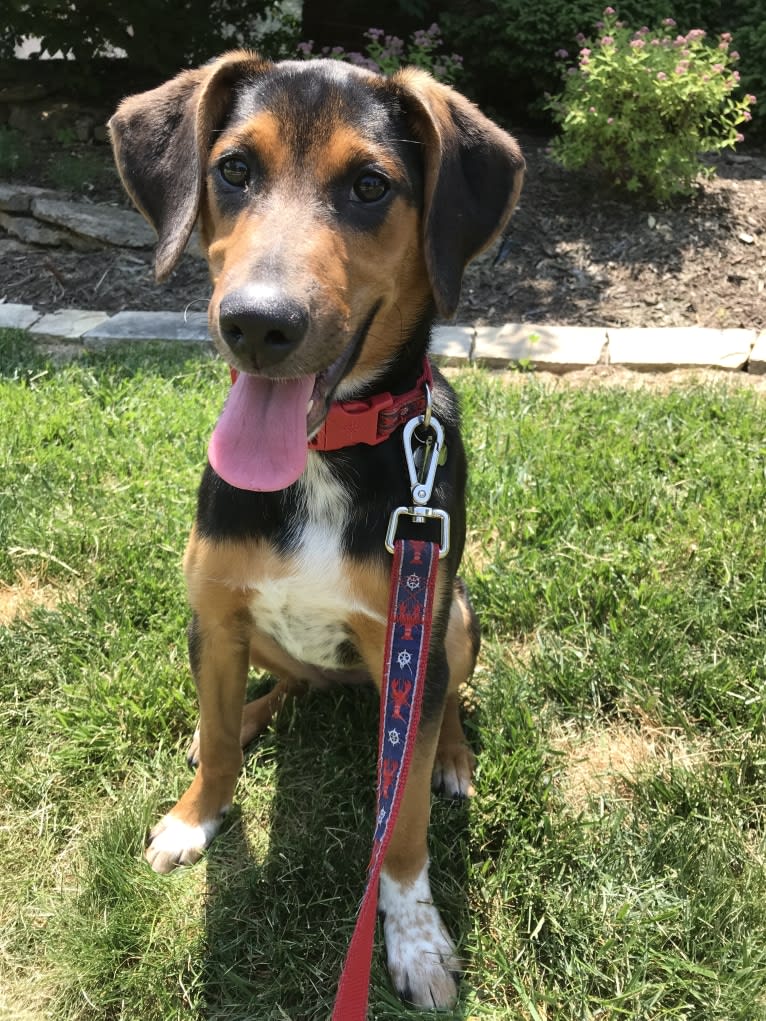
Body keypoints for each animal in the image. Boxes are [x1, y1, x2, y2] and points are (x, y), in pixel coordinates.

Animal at [108, 51, 527, 1008]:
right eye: (232, 169)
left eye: (370, 185)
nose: (258, 323)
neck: (324, 455)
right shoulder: (215, 613)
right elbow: (220, 741)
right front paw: (195, 815)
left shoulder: (415, 632)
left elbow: (401, 829)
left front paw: (414, 938)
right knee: (276, 688)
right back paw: (254, 714)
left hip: (455, 616)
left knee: (445, 704)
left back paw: (452, 757)